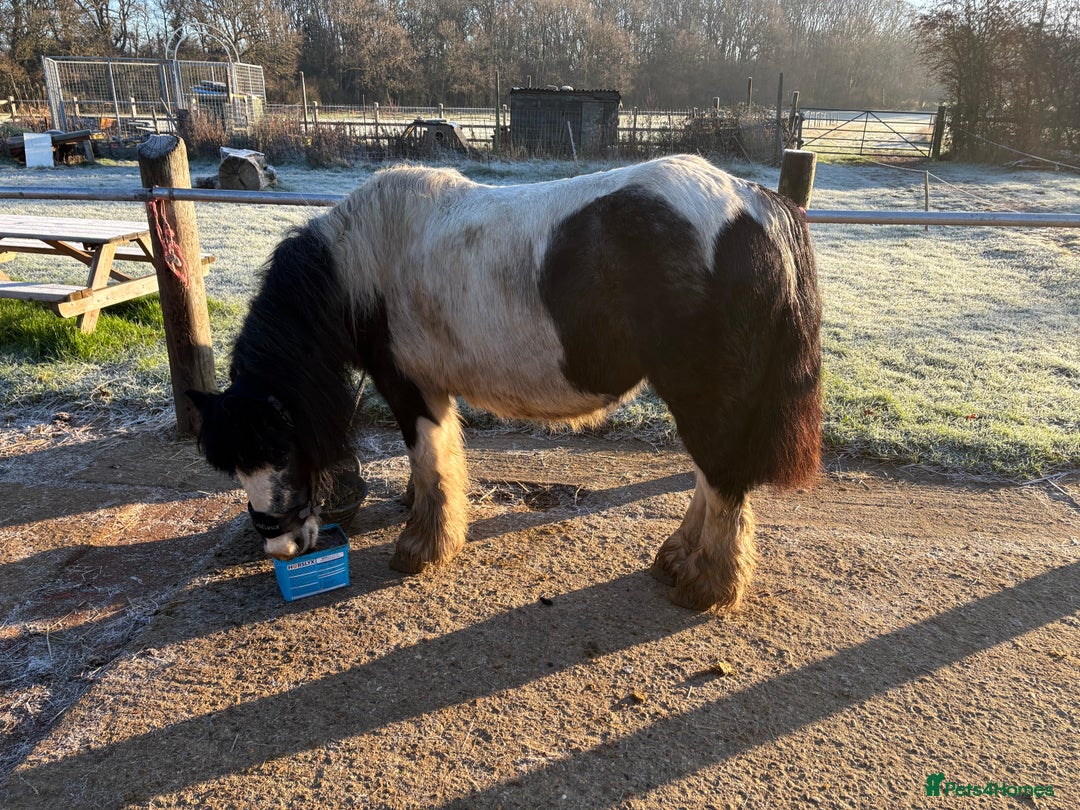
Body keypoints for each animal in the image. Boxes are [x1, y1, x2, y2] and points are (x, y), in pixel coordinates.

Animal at [188, 154, 822, 611]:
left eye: (279, 446)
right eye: (231, 464)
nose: (281, 546)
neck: (364, 261)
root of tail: (757, 203)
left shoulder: (409, 388)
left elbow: (429, 458)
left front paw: (422, 547)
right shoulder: (433, 386)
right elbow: (442, 459)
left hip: (703, 392)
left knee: (723, 478)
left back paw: (707, 586)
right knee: (710, 475)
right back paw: (678, 558)